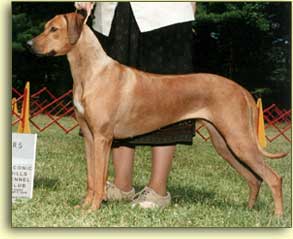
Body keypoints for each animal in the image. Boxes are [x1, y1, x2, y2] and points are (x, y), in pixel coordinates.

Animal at [28, 12, 286, 216]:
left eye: (54, 29)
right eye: (45, 27)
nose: (29, 44)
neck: (91, 72)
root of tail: (242, 90)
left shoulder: (103, 138)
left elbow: (99, 179)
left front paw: (93, 209)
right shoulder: (90, 138)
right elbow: (92, 178)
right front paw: (84, 206)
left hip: (238, 139)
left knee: (273, 177)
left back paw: (278, 216)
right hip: (225, 144)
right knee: (255, 178)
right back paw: (250, 210)